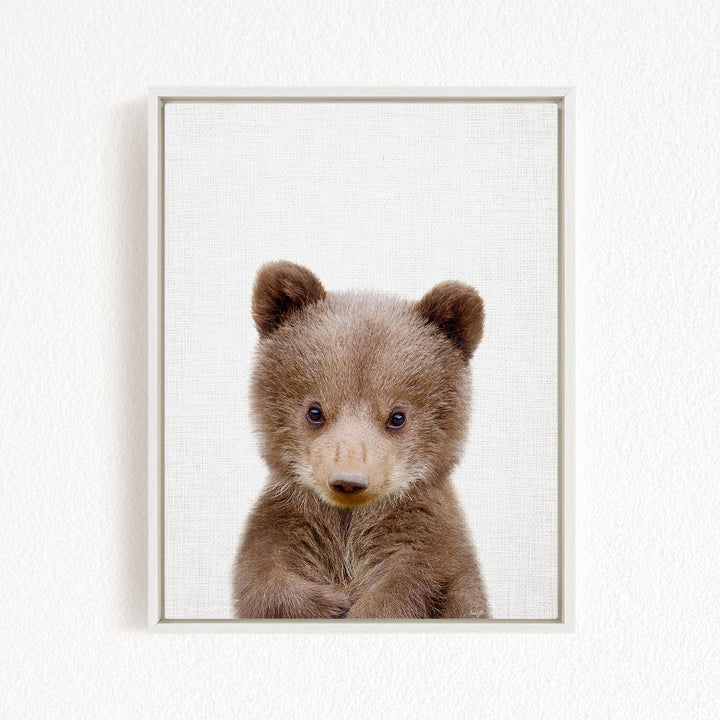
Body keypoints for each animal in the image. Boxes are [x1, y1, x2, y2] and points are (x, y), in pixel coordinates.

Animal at [232, 260, 490, 619]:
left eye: (397, 416)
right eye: (315, 411)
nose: (348, 481)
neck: (348, 521)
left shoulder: (427, 539)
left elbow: (413, 581)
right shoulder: (287, 522)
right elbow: (262, 578)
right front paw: (331, 603)